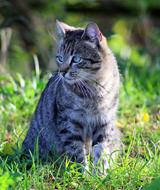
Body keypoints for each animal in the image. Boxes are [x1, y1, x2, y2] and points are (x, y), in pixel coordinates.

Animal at [21, 20, 120, 173]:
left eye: (76, 59)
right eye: (60, 58)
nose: (62, 72)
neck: (94, 87)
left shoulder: (104, 121)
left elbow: (100, 149)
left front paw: (99, 172)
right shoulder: (69, 123)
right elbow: (76, 152)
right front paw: (83, 174)